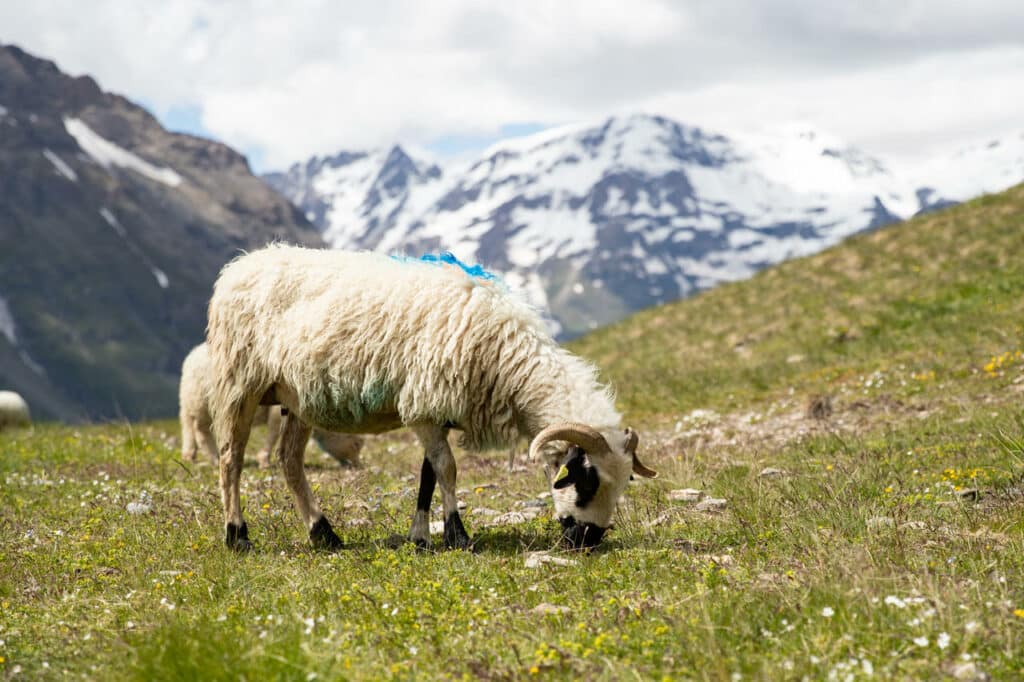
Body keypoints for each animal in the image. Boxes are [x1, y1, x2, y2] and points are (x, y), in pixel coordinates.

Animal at [178, 339, 362, 466]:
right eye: (356, 444)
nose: (357, 466)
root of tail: (190, 357)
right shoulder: (277, 412)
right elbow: (274, 433)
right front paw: (264, 460)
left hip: (191, 403)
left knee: (189, 427)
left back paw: (190, 455)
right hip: (201, 403)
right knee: (200, 431)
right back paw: (214, 458)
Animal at [206, 245, 655, 552]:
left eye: (627, 481)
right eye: (586, 478)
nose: (589, 539)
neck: (505, 360)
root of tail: (239, 265)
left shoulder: (434, 408)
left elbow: (427, 476)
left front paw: (420, 537)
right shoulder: (424, 404)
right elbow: (447, 469)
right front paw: (457, 533)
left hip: (297, 398)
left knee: (289, 462)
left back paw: (323, 533)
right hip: (238, 383)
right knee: (231, 459)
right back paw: (237, 536)